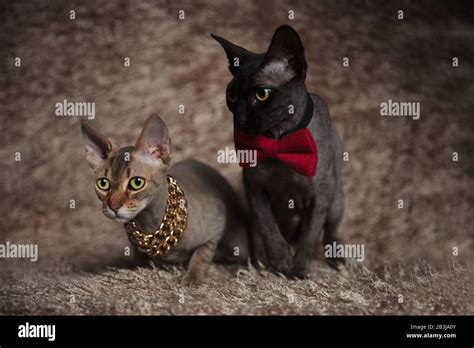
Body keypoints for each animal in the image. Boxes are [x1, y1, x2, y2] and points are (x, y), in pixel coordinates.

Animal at [214, 25, 344, 280]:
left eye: (262, 94)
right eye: (232, 95)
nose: (240, 119)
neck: (278, 141)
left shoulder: (320, 199)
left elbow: (309, 238)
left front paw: (298, 271)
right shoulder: (255, 190)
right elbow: (268, 229)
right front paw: (281, 263)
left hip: (335, 199)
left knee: (330, 231)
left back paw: (337, 261)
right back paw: (260, 264)